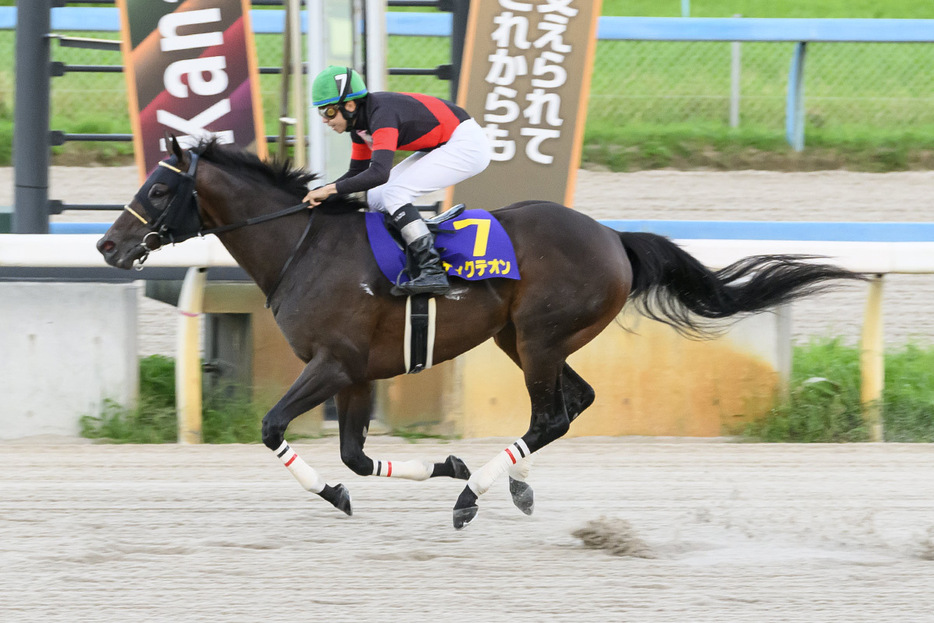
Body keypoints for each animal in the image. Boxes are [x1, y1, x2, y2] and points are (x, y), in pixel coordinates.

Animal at [97, 139, 864, 528]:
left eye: (159, 189)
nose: (108, 245)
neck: (302, 246)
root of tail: (612, 237)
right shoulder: (358, 373)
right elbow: (354, 456)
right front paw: (445, 466)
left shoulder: (333, 363)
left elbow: (273, 428)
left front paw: (356, 492)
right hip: (520, 340)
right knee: (571, 406)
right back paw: (509, 485)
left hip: (540, 336)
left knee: (552, 413)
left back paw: (476, 498)